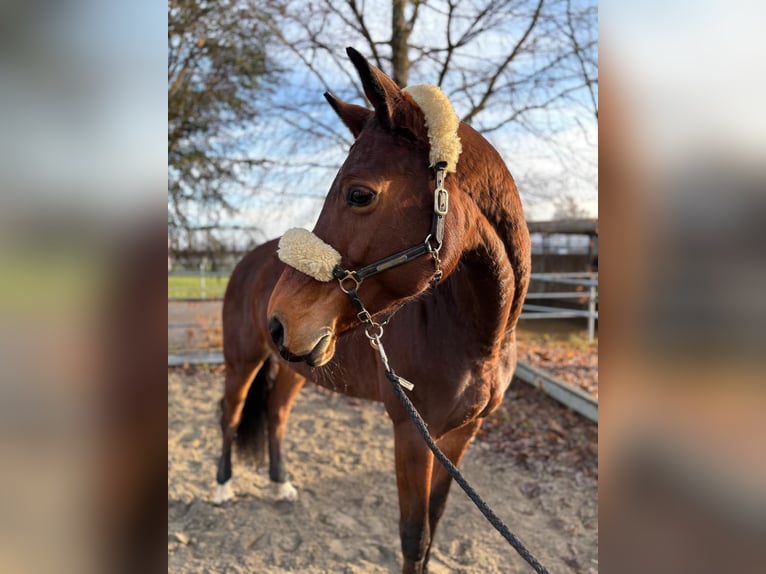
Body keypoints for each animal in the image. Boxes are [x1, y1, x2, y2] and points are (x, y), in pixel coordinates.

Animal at [215, 47, 530, 574]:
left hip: (293, 367)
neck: (476, 338)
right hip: (243, 359)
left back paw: (280, 486)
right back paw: (222, 487)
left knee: (276, 415)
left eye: (359, 194)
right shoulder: (412, 434)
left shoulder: (461, 435)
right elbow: (414, 536)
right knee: (230, 414)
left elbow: (435, 524)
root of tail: (249, 260)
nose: (280, 320)